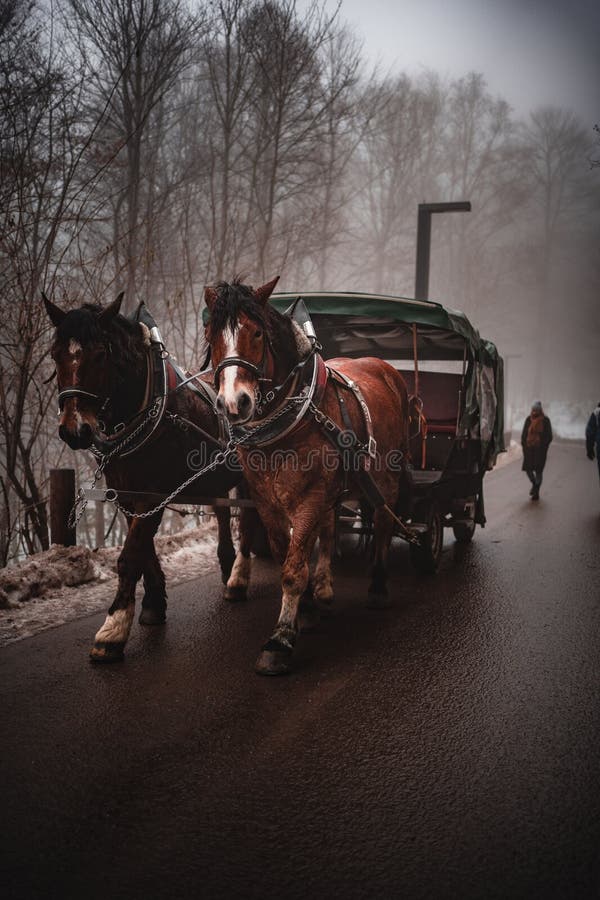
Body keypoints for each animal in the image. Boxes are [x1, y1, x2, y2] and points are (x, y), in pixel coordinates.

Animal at [43, 291, 262, 662]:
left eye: (100, 354)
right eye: (56, 353)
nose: (74, 430)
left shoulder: (153, 493)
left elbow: (130, 555)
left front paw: (113, 628)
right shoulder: (127, 494)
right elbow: (143, 549)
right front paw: (153, 604)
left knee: (247, 519)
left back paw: (238, 577)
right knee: (221, 512)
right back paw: (226, 561)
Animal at [203, 277, 411, 675]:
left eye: (256, 332)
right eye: (211, 335)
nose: (234, 403)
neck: (287, 424)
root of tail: (385, 368)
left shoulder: (310, 496)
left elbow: (294, 568)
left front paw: (280, 640)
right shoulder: (267, 500)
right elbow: (287, 554)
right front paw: (308, 610)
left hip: (385, 477)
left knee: (382, 519)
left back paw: (378, 586)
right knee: (330, 528)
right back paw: (324, 588)